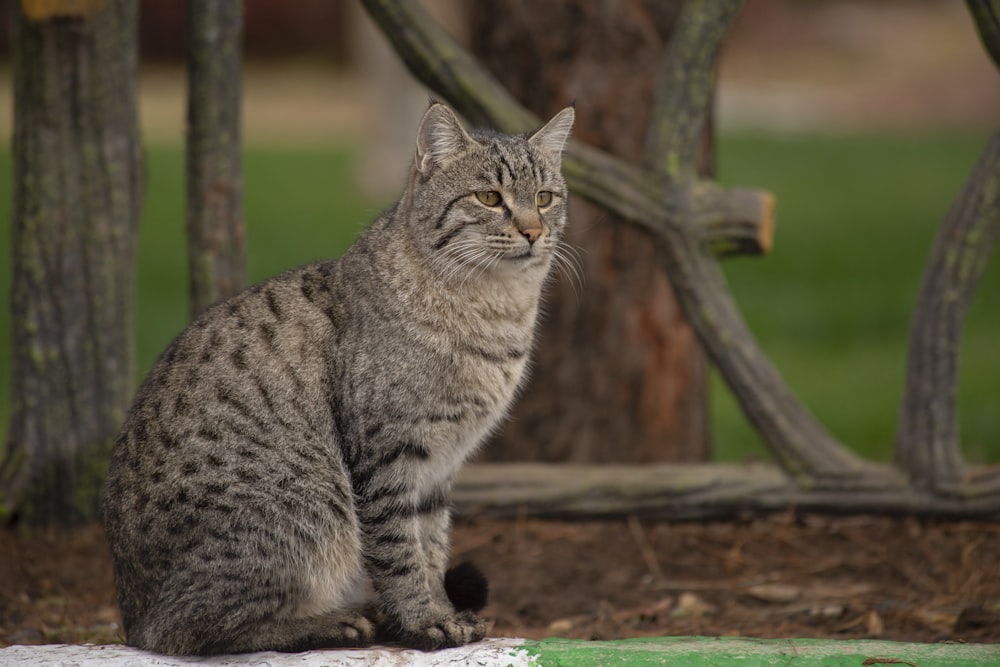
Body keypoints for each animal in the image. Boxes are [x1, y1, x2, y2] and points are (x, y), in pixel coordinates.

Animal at [102, 105, 576, 656]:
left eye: (543, 198)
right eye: (489, 198)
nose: (532, 231)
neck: (497, 314)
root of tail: (131, 613)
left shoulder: (441, 466)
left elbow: (432, 547)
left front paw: (439, 610)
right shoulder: (388, 455)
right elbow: (400, 553)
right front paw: (423, 621)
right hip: (309, 506)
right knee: (186, 629)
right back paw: (335, 621)